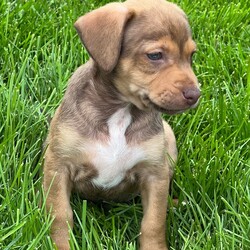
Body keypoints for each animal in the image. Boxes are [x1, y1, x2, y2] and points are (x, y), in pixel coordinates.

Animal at [42, 0, 199, 249]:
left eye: (191, 56)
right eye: (155, 55)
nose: (195, 94)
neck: (120, 111)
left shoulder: (154, 174)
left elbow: (154, 222)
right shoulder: (59, 166)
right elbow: (60, 215)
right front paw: (60, 245)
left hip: (169, 141)